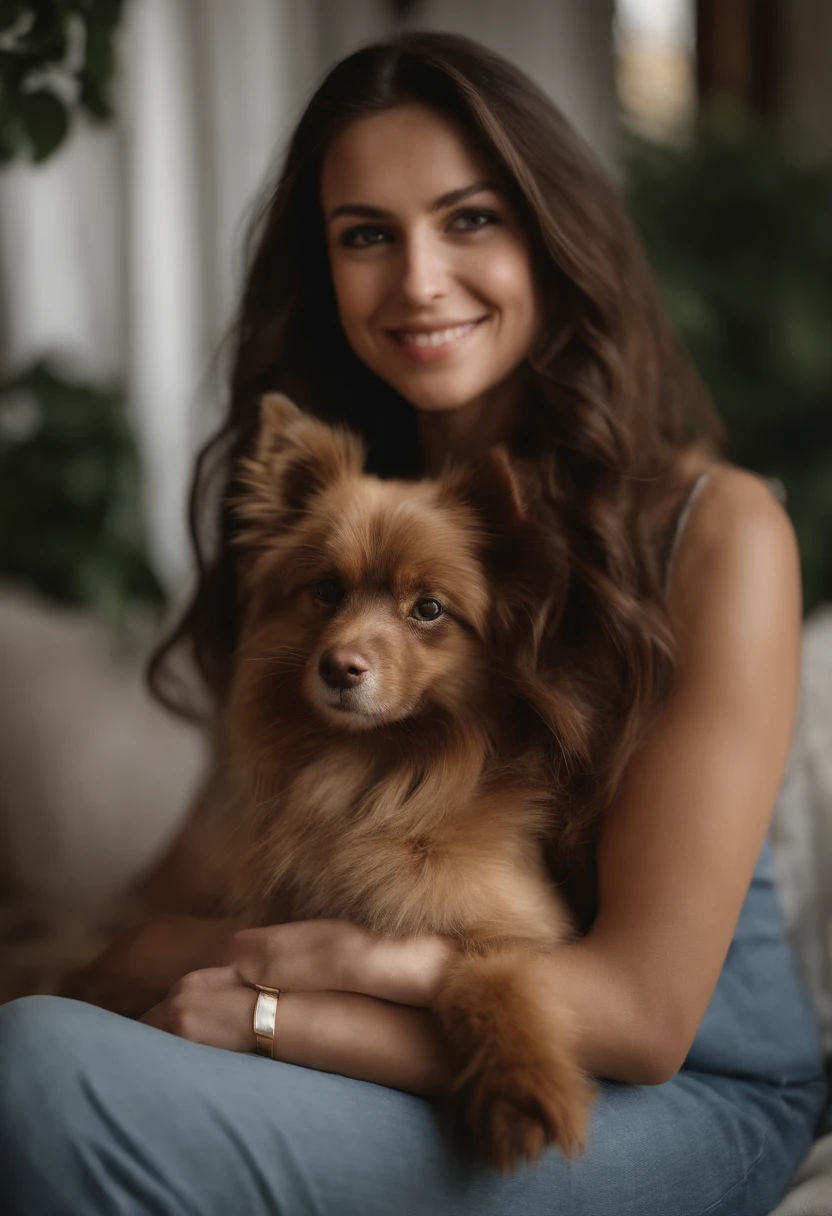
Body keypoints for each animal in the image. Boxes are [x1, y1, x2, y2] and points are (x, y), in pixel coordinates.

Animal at [223, 393, 593, 1172]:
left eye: (428, 608)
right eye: (326, 591)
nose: (340, 667)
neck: (373, 773)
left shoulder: (514, 924)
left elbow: (491, 979)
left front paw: (520, 1087)